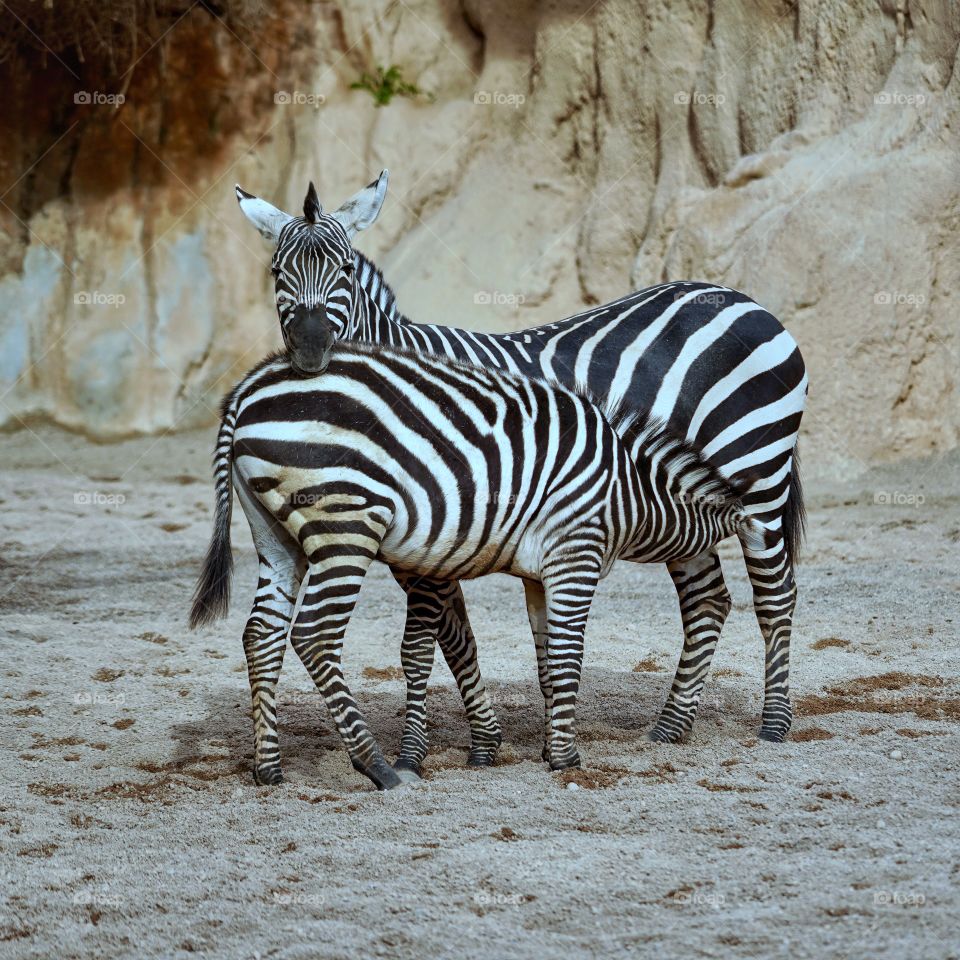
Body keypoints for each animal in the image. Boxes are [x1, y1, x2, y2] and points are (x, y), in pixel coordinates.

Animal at [191, 339, 762, 790]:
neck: (630, 493)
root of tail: (248, 389)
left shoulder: (540, 574)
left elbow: (548, 660)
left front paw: (549, 747)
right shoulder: (575, 553)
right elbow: (569, 654)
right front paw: (567, 759)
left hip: (274, 533)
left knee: (261, 634)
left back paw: (269, 768)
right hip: (346, 523)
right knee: (314, 635)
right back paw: (376, 766)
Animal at [230, 172, 808, 772]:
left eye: (343, 270)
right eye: (276, 273)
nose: (310, 351)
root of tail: (741, 299)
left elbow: (426, 646)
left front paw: (419, 752)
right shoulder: (438, 541)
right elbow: (458, 638)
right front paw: (489, 741)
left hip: (759, 481)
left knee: (775, 596)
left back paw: (773, 725)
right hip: (685, 501)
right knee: (708, 600)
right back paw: (671, 727)